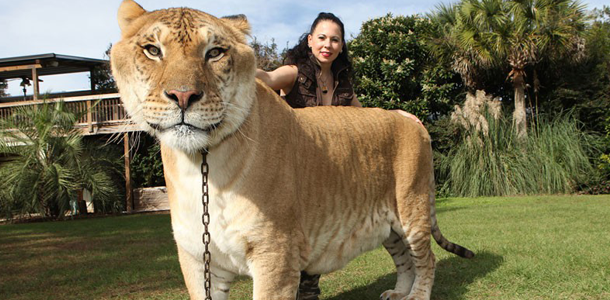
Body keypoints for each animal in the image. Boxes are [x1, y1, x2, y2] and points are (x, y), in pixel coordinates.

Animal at [111, 1, 476, 298]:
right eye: (152, 50)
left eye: (214, 52)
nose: (183, 95)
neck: (202, 165)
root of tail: (413, 122)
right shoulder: (197, 257)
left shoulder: (276, 254)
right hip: (388, 223)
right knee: (404, 259)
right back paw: (400, 292)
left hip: (412, 208)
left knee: (426, 259)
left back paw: (416, 295)